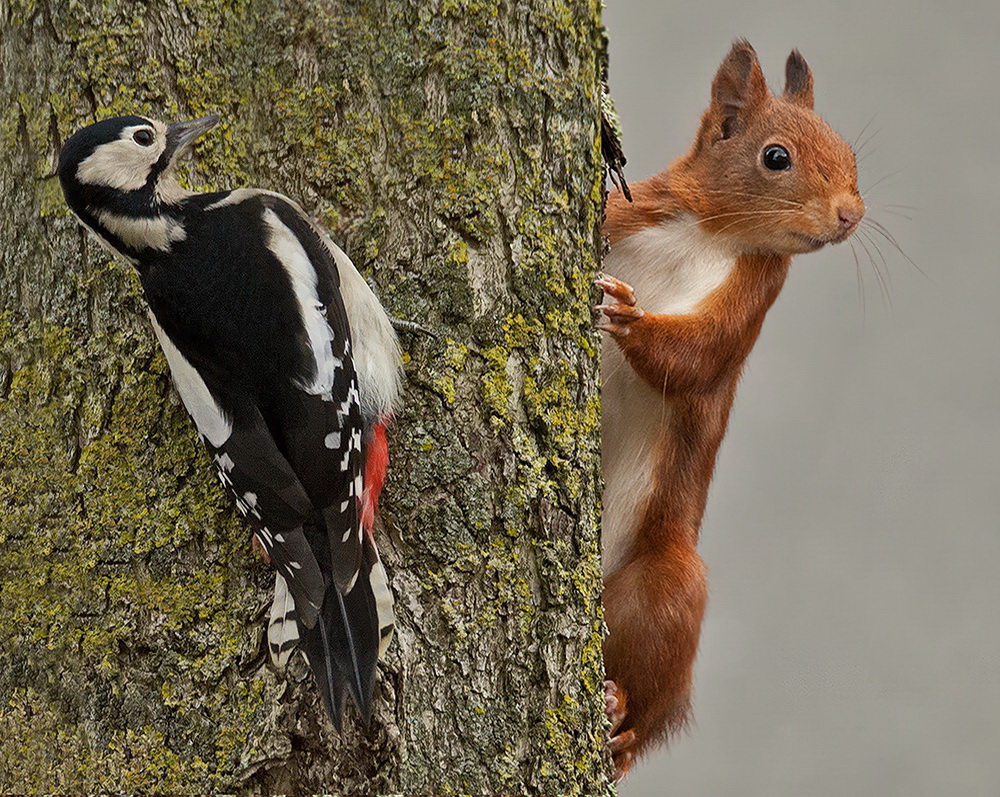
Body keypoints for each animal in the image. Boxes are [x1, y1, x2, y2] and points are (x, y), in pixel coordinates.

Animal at [596, 40, 864, 776]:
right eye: (776, 157)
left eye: (850, 153)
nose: (851, 214)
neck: (710, 233)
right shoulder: (628, 214)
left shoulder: (749, 302)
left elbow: (696, 361)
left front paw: (627, 317)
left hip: (663, 584)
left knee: (658, 677)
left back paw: (622, 717)